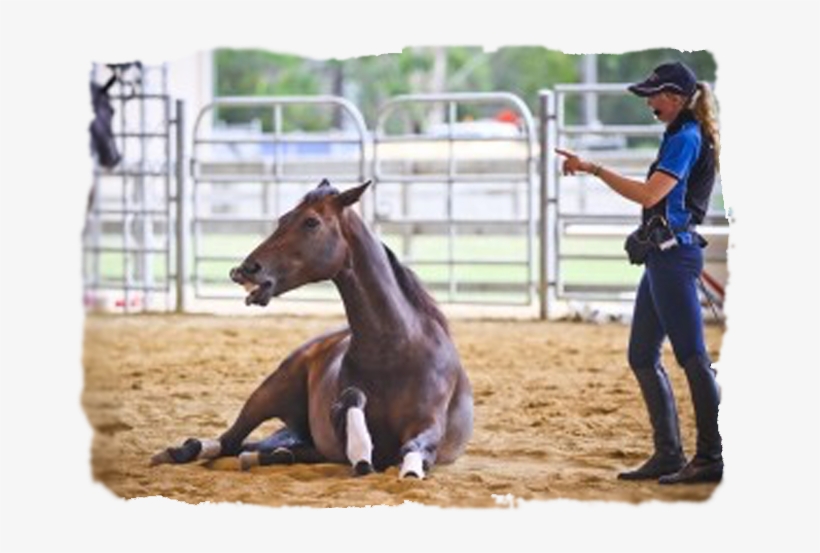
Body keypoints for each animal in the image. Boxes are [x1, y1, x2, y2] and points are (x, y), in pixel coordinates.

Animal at [151, 179, 473, 479]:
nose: (244, 270)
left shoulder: (428, 425)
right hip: (268, 393)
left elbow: (412, 451)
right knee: (229, 441)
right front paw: (362, 451)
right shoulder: (337, 429)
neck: (396, 351)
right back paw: (178, 452)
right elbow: (352, 406)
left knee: (263, 449)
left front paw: (405, 468)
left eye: (311, 222)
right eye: (283, 219)